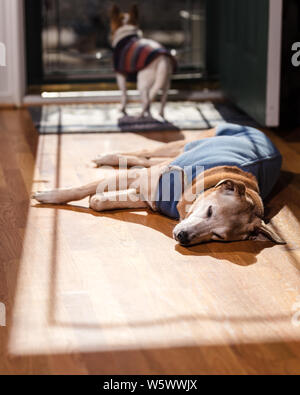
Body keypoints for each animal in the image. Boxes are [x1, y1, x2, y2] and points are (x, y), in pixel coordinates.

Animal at [32, 124, 286, 248]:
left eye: (218, 236)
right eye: (210, 211)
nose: (183, 236)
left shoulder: (149, 197)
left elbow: (99, 201)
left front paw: (100, 199)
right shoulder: (143, 180)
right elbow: (83, 189)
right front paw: (49, 195)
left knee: (145, 161)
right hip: (182, 144)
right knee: (146, 153)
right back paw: (109, 156)